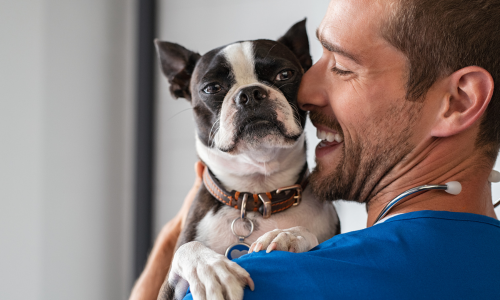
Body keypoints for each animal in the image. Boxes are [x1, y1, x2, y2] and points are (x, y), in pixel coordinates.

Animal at [154, 19, 340, 298]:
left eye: (285, 74)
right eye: (212, 88)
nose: (250, 93)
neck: (256, 193)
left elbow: (306, 234)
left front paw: (287, 236)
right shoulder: (167, 289)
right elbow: (188, 248)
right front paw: (210, 269)